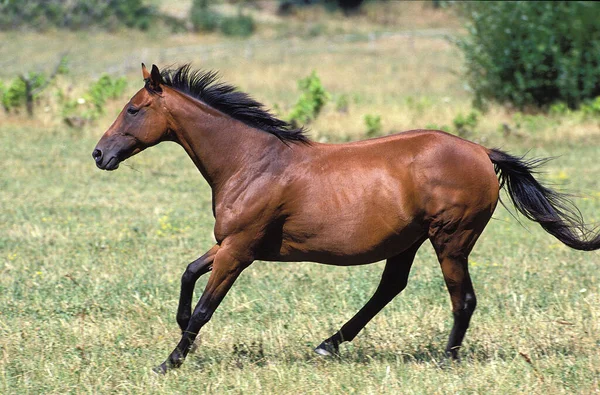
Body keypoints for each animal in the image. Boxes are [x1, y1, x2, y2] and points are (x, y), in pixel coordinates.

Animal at [92, 64, 600, 374]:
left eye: (133, 109)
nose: (99, 154)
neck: (251, 162)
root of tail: (481, 151)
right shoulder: (230, 243)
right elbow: (188, 273)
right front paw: (183, 337)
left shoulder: (239, 250)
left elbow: (205, 305)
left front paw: (171, 360)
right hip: (409, 241)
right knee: (390, 288)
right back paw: (329, 343)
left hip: (450, 240)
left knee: (463, 300)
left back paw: (446, 359)